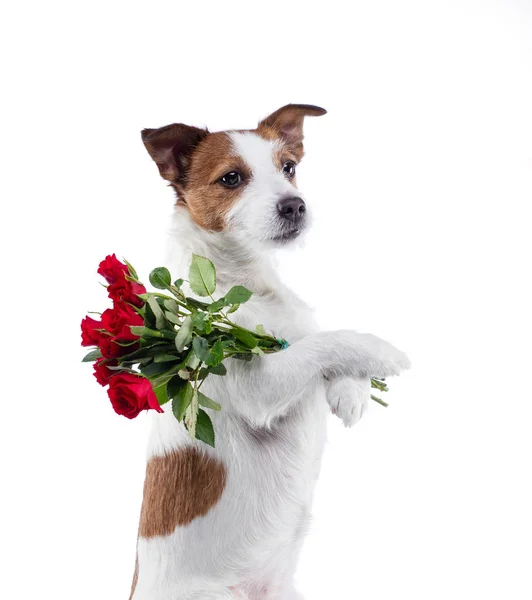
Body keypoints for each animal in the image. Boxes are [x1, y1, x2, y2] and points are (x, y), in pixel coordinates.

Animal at [130, 105, 412, 596]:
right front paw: (380, 352)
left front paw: (353, 390)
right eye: (231, 178)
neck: (246, 281)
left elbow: (316, 342)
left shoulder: (297, 331)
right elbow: (324, 342)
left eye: (289, 168)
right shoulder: (258, 386)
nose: (295, 205)